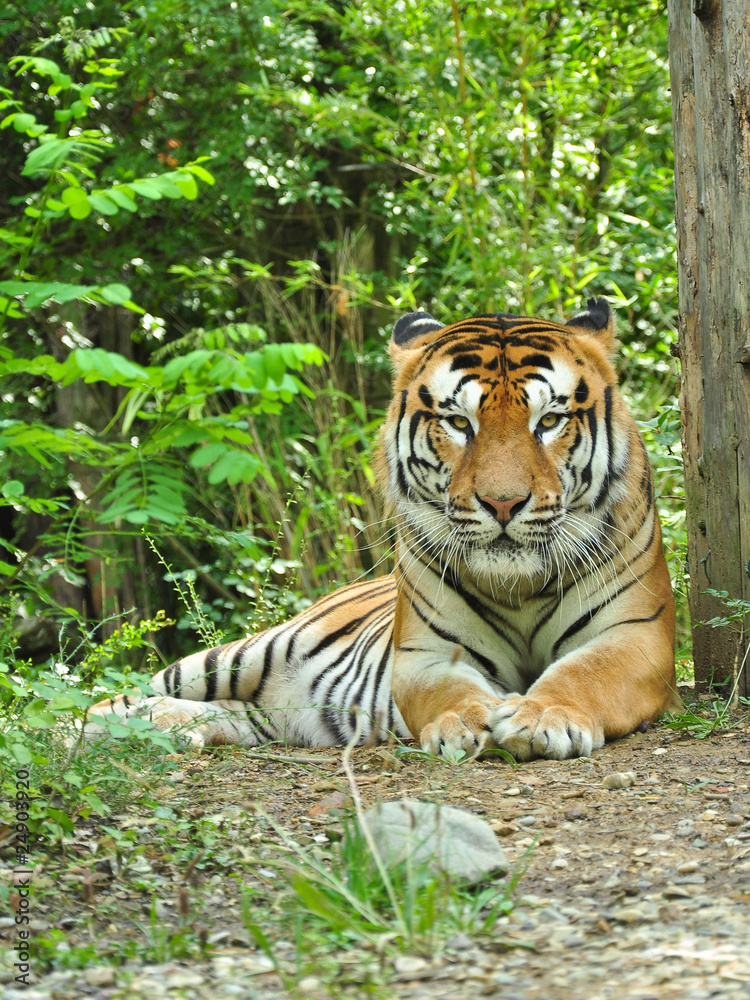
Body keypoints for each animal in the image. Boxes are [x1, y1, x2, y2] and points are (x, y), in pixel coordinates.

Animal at [84, 298, 678, 761]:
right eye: (458, 423)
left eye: (549, 420)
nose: (503, 503)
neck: (520, 587)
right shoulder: (424, 653)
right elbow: (447, 691)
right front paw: (466, 723)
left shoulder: (636, 635)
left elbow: (586, 673)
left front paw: (541, 717)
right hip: (235, 656)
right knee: (111, 696)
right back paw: (87, 732)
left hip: (262, 713)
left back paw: (170, 730)